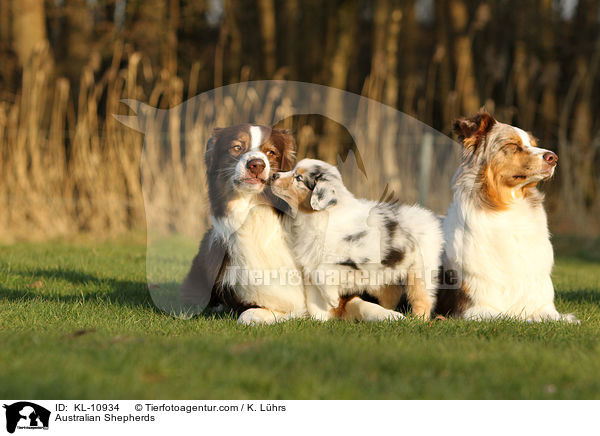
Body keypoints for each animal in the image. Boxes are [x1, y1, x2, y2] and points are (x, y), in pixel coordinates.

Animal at [438, 111, 580, 324]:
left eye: (533, 143)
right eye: (512, 145)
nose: (553, 157)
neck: (509, 208)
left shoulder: (542, 305)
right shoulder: (475, 309)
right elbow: (510, 318)